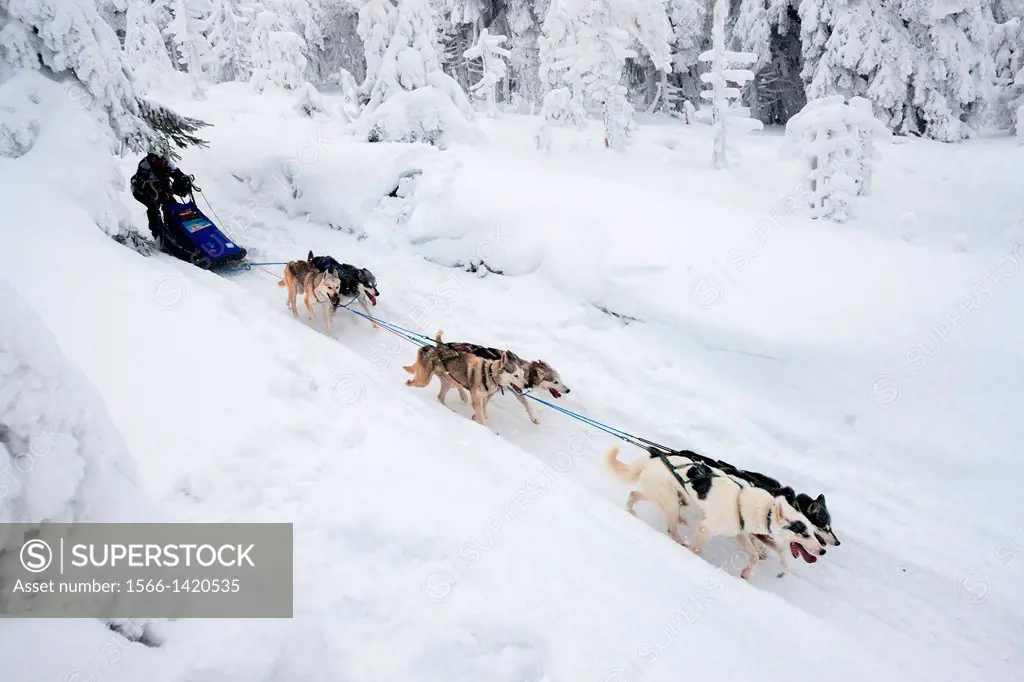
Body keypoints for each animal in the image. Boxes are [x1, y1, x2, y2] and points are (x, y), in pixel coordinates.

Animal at [602, 446, 827, 577]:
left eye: (812, 531)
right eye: (803, 532)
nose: (823, 551)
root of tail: (653, 458)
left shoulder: (741, 535)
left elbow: (754, 556)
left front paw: (746, 573)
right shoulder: (706, 528)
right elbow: (698, 549)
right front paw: (694, 556)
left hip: (665, 498)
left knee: (633, 494)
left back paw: (632, 512)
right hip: (671, 503)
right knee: (670, 527)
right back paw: (680, 541)